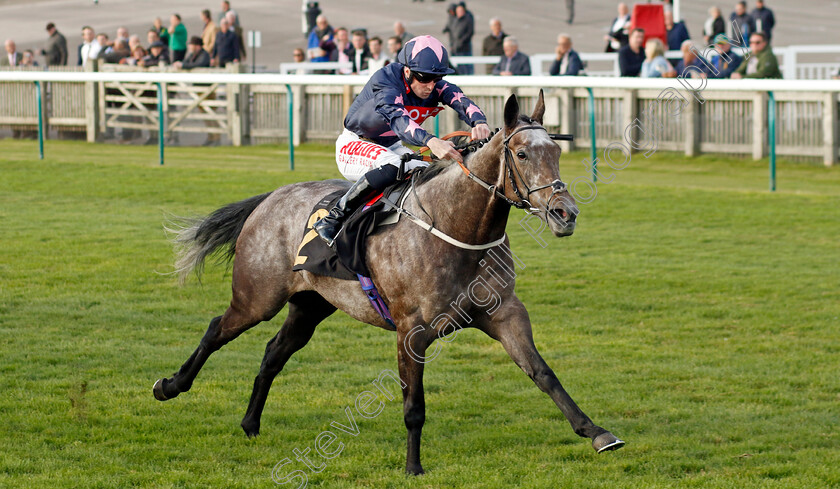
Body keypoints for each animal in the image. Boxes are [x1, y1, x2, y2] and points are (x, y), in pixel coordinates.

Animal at [153, 90, 624, 472]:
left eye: (556, 152)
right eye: (522, 155)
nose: (565, 214)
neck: (456, 226)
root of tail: (270, 198)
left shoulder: (505, 313)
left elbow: (543, 373)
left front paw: (597, 432)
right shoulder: (411, 330)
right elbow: (413, 405)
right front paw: (413, 467)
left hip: (310, 305)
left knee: (273, 353)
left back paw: (250, 423)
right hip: (257, 297)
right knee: (217, 329)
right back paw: (170, 386)